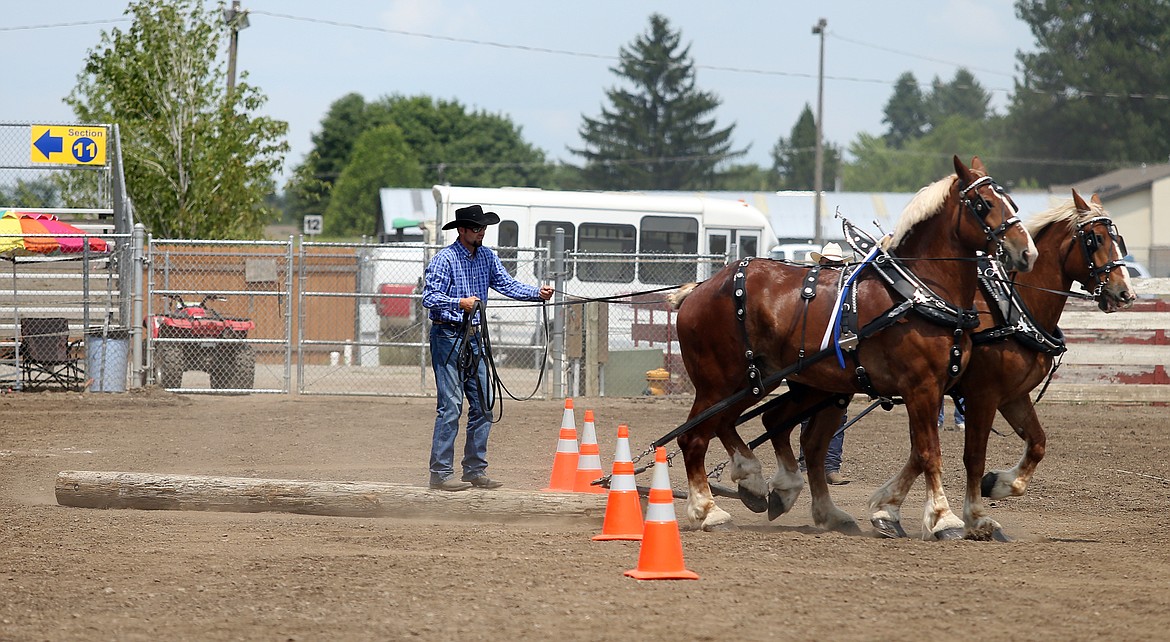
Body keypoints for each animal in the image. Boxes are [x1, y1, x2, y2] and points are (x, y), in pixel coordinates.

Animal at [673, 156, 1038, 535]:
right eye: (984, 204)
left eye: (1012, 203)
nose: (1027, 252)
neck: (918, 292)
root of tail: (699, 289)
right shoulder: (924, 387)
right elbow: (930, 453)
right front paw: (942, 518)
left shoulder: (943, 388)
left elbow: (927, 452)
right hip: (719, 382)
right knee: (693, 438)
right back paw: (709, 511)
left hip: (757, 380)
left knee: (737, 425)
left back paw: (762, 485)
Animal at [950, 188, 1132, 537]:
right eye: (1095, 239)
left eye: (1119, 239)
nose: (1125, 293)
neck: (1012, 308)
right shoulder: (983, 395)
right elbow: (973, 456)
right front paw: (976, 517)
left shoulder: (1013, 396)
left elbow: (1037, 443)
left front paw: (997, 483)